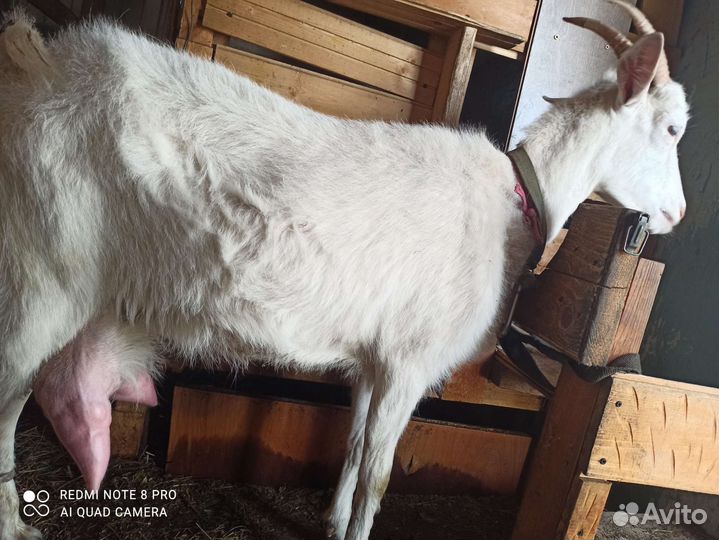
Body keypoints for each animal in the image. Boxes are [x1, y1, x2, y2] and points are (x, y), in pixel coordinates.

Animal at [0, 2, 688, 539]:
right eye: (674, 128)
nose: (678, 214)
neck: (513, 200)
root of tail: (40, 64)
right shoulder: (409, 360)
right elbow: (379, 475)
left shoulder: (374, 359)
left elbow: (354, 449)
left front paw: (331, 524)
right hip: (43, 271)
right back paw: (14, 523)